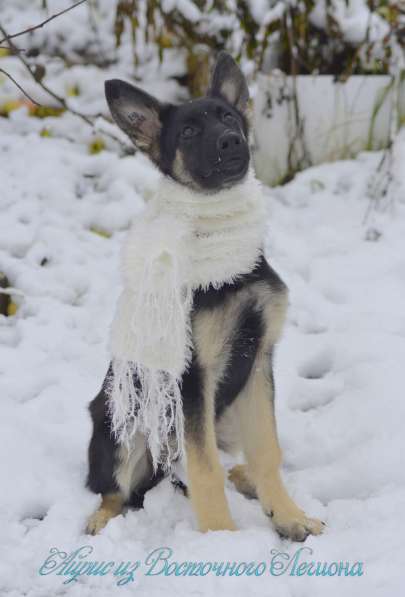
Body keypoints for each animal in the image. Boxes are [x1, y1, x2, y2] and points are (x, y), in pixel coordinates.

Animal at [85, 53, 322, 544]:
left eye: (229, 118)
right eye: (189, 133)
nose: (231, 141)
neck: (227, 273)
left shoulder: (258, 361)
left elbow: (267, 450)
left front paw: (288, 514)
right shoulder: (193, 378)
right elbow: (205, 467)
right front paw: (221, 540)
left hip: (226, 413)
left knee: (234, 462)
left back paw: (246, 480)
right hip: (121, 422)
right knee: (114, 489)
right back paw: (101, 518)